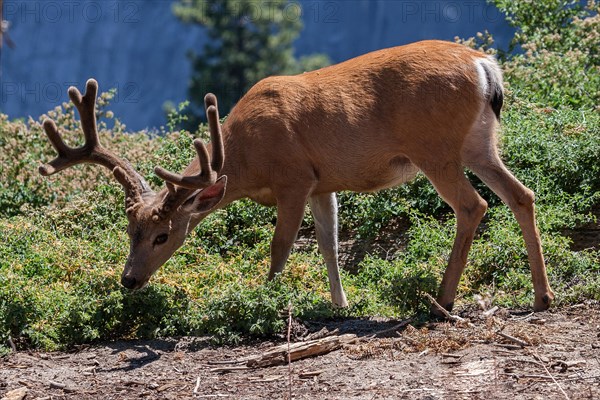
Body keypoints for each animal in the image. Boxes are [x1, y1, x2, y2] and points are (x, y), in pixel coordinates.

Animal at [38, 40, 552, 316]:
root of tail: (484, 65)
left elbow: (282, 244)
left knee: (474, 205)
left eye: (164, 235)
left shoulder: (294, 178)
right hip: (479, 143)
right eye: (131, 231)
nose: (129, 280)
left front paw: (264, 299)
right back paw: (542, 296)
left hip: (436, 148)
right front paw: (340, 304)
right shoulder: (324, 183)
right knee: (521, 194)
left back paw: (443, 299)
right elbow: (329, 241)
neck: (247, 162)